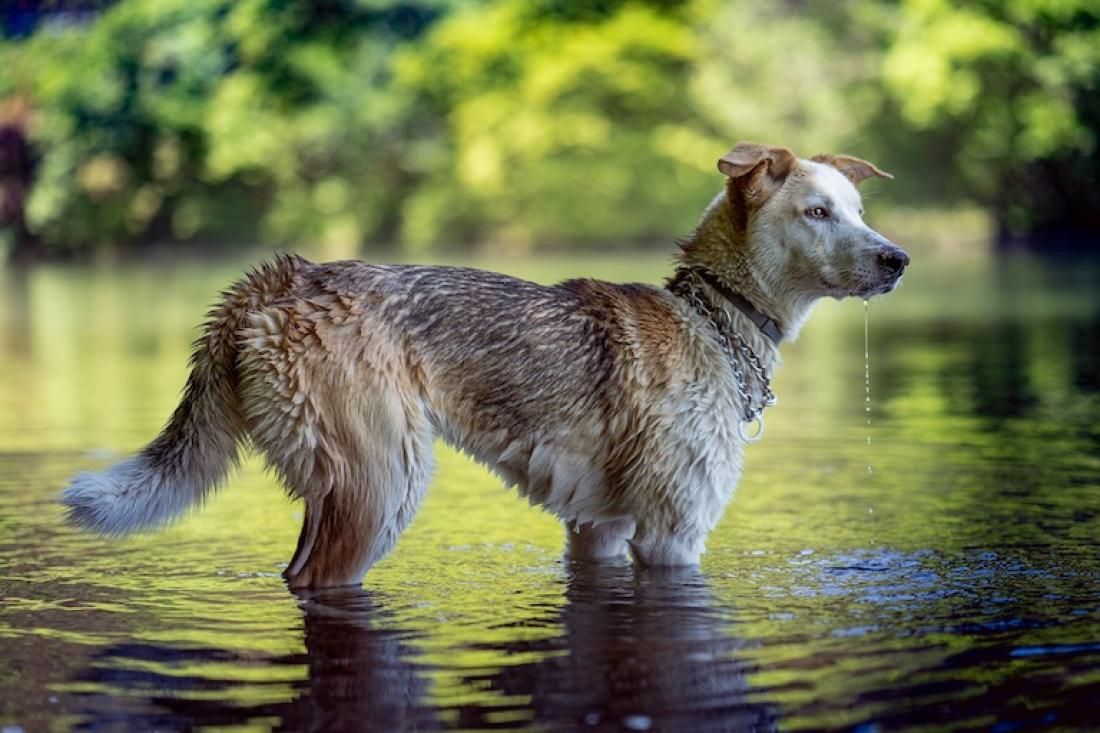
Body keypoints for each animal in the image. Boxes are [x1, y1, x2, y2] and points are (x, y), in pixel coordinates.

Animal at [60, 144, 906, 589]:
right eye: (818, 212)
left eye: (857, 211)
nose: (898, 259)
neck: (713, 314)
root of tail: (279, 279)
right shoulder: (673, 534)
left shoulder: (599, 529)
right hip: (382, 484)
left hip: (340, 487)